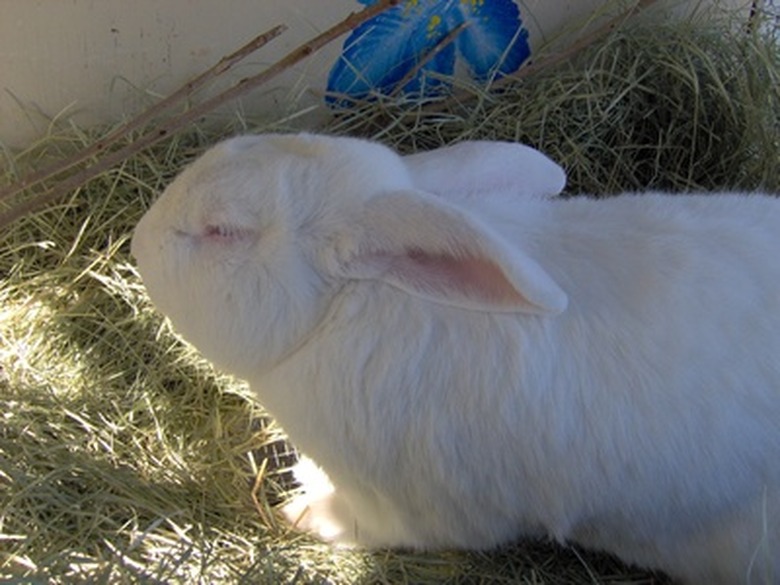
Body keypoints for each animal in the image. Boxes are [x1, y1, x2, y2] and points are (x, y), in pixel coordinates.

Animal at [133, 133, 780, 584]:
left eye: (222, 231)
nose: (139, 239)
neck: (340, 311)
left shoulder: (404, 510)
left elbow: (359, 521)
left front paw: (298, 510)